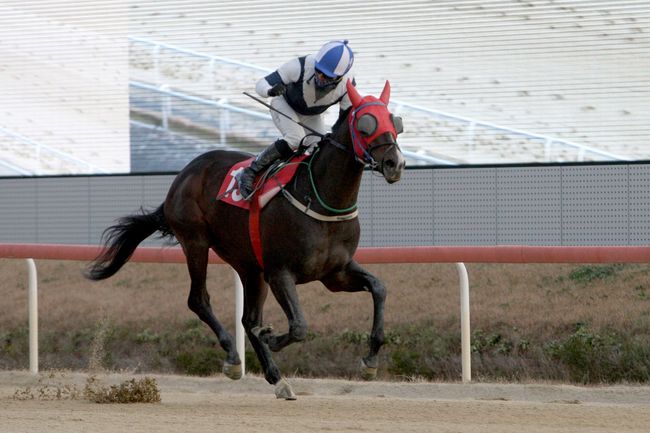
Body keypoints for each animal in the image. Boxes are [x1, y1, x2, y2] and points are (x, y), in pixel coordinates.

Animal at [83, 80, 402, 398]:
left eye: (395, 122)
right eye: (365, 125)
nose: (394, 163)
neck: (321, 198)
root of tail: (185, 174)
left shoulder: (334, 274)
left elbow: (379, 288)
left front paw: (370, 361)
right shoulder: (280, 272)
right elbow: (298, 326)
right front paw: (271, 337)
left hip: (249, 266)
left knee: (248, 319)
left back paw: (277, 378)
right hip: (196, 243)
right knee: (199, 300)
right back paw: (234, 359)